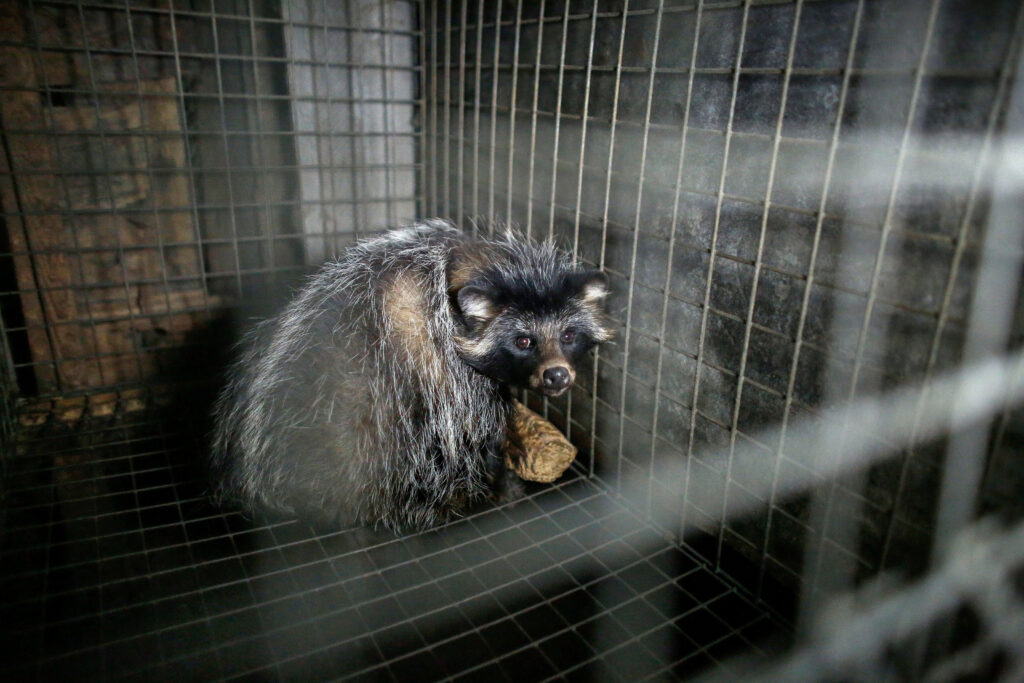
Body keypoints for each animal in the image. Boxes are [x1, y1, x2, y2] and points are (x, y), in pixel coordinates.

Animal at [207, 222, 606, 532]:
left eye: (568, 335)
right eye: (524, 341)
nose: (557, 376)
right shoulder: (443, 367)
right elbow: (474, 435)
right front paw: (502, 483)